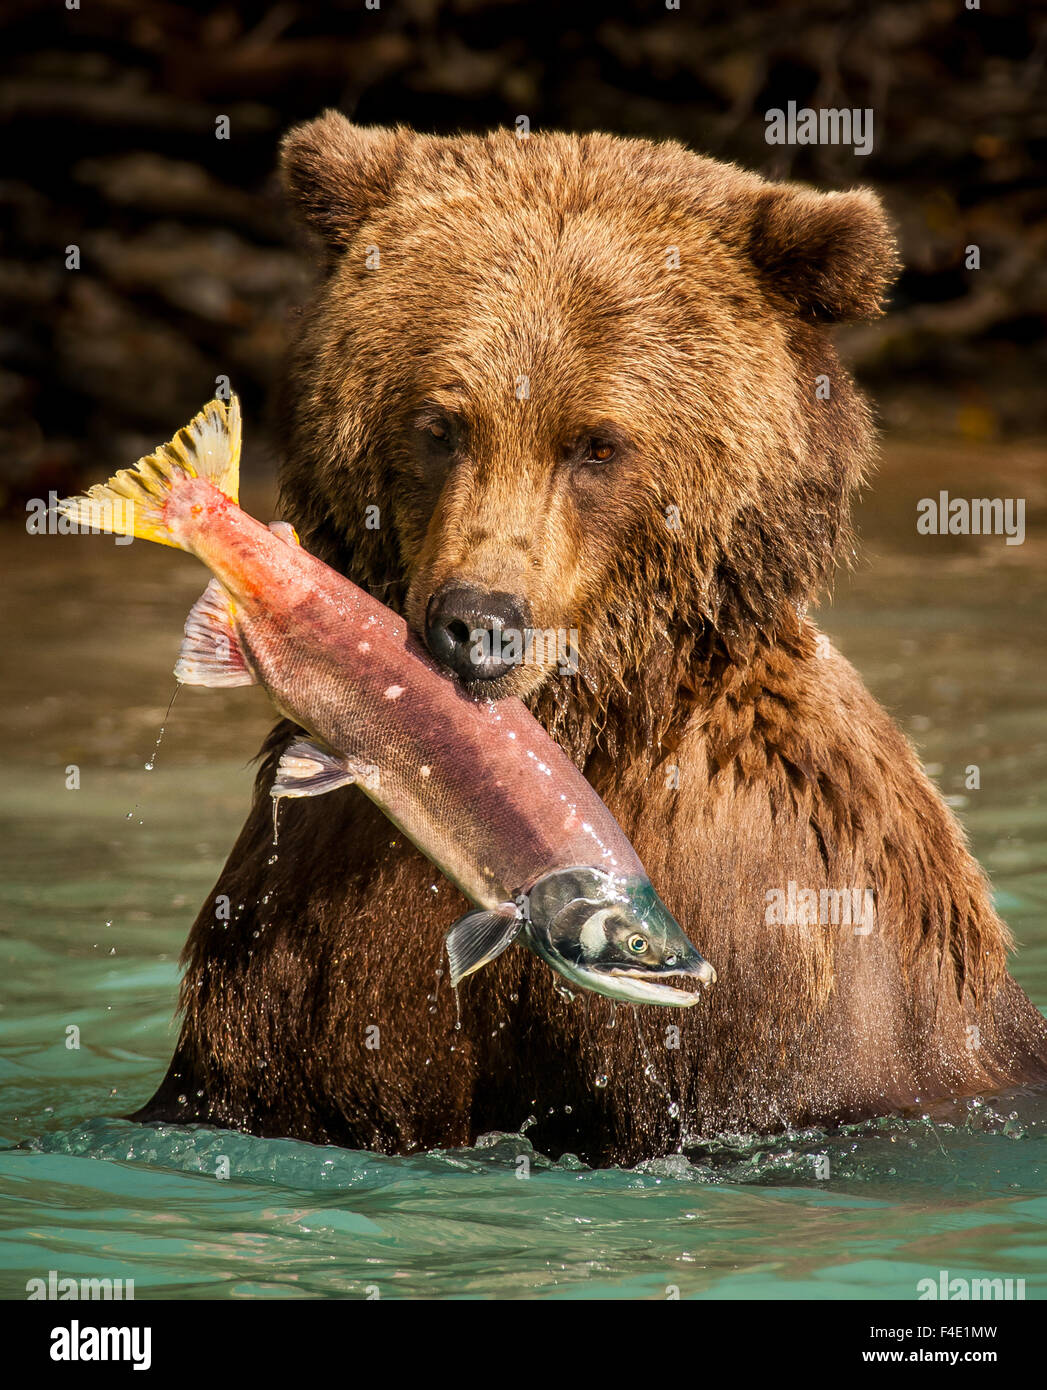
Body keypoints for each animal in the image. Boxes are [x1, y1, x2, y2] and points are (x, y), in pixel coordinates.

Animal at [134, 113, 1045, 1167]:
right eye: (439, 423)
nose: (476, 624)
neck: (579, 728)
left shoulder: (782, 934)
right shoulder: (314, 936)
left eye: (597, 444)